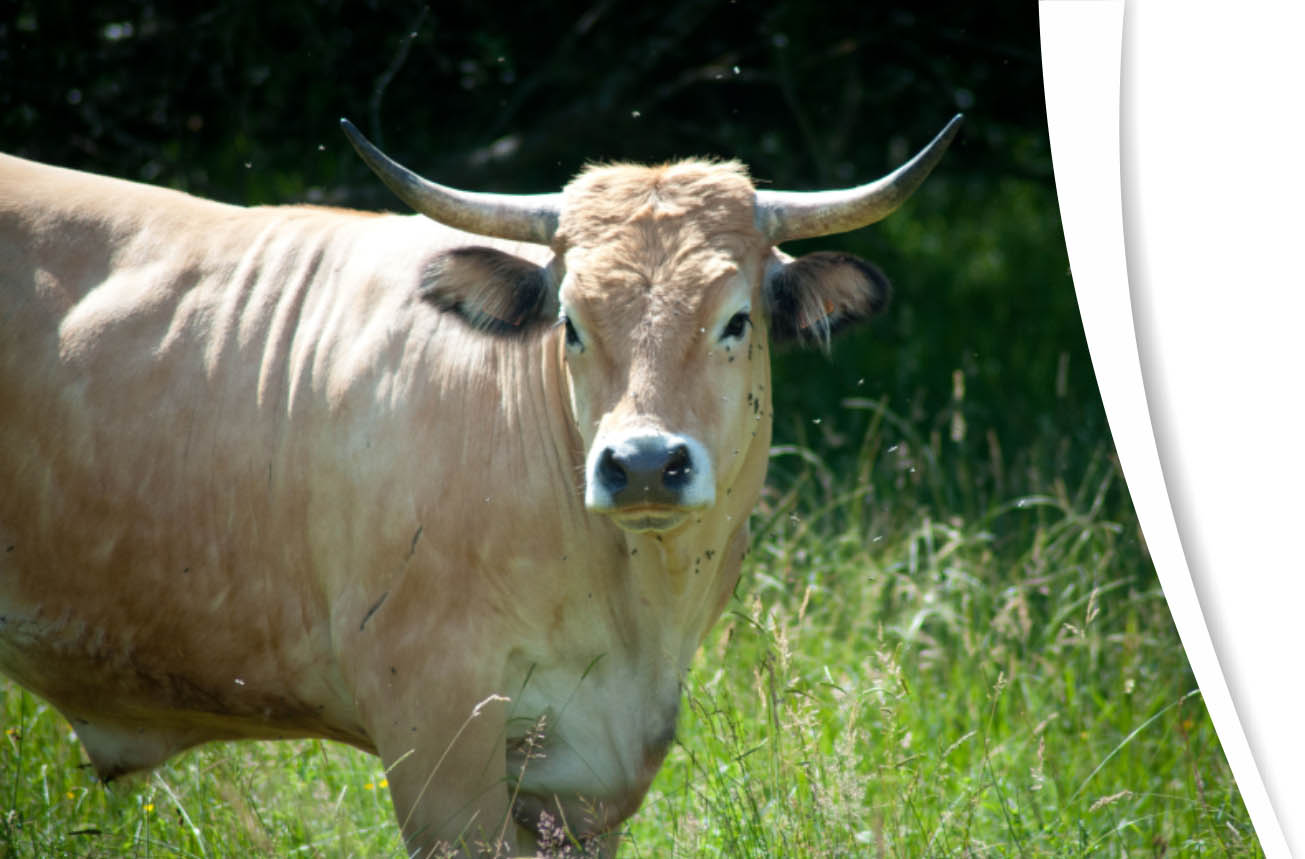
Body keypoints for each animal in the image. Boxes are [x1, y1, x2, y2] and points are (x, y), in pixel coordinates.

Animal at [0, 112, 960, 851]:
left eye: (735, 321)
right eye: (569, 321)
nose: (644, 462)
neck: (631, 606)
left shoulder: (585, 779)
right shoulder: (438, 739)